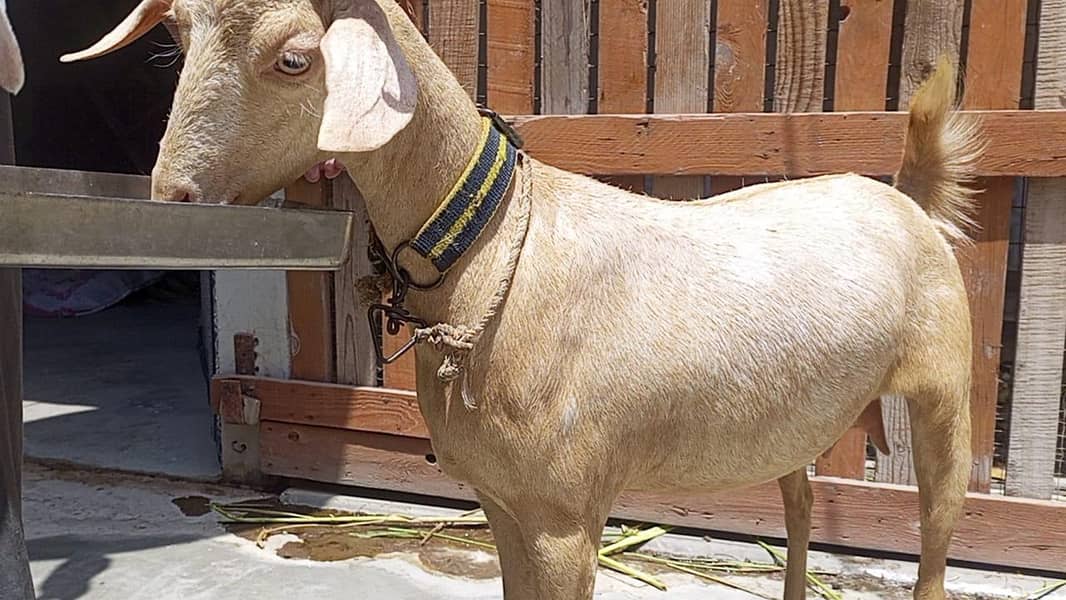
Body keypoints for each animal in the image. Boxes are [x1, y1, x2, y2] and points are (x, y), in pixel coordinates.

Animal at [64, 2, 979, 598]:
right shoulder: (506, 503)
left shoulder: (565, 516)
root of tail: (906, 196)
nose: (172, 197)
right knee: (799, 505)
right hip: (799, 418)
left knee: (938, 531)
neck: (496, 244)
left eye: (295, 58)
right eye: (177, 35)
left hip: (944, 386)